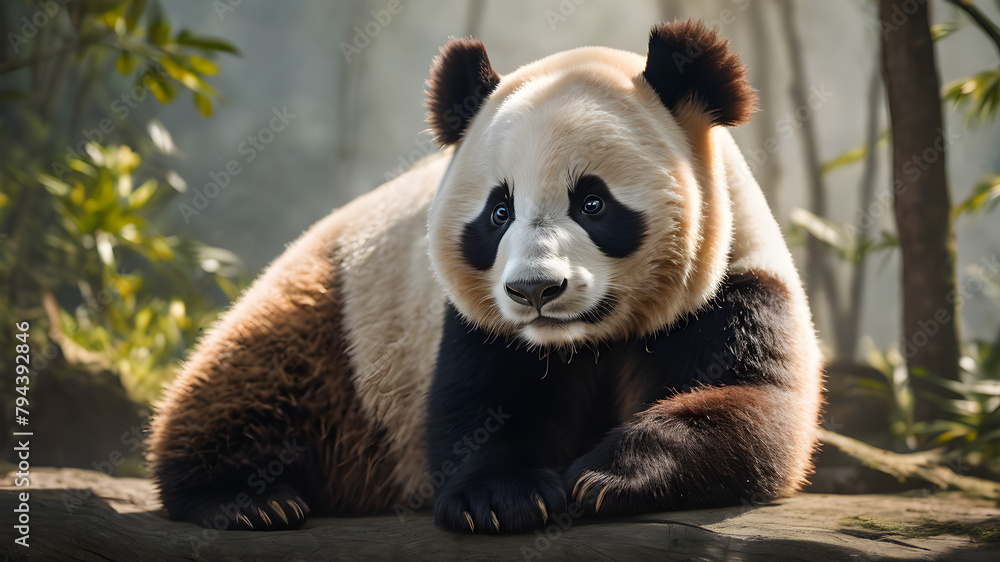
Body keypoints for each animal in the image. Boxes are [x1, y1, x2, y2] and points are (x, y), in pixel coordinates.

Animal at [148, 19, 822, 535]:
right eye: (500, 211)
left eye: (592, 203)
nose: (535, 291)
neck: (580, 340)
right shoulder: (471, 318)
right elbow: (478, 408)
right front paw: (501, 500)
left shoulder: (736, 280)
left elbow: (755, 406)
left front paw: (609, 477)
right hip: (338, 316)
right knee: (252, 376)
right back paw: (250, 499)